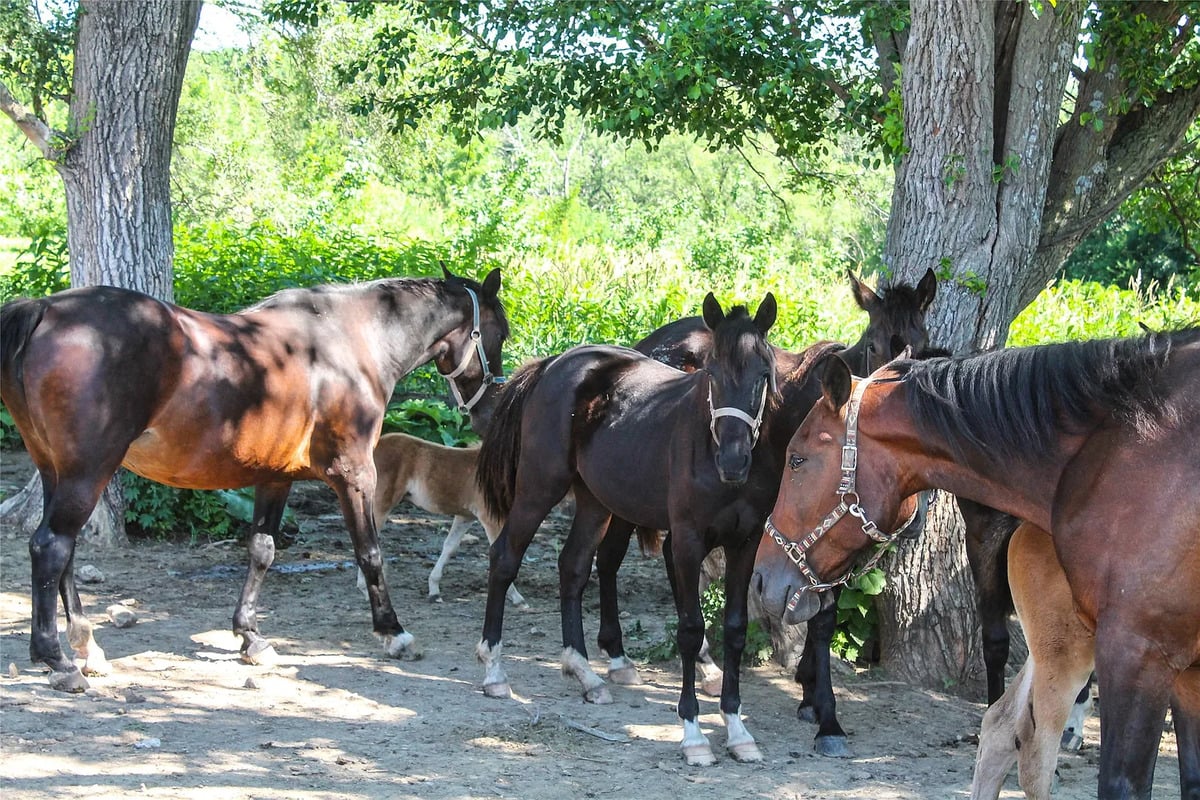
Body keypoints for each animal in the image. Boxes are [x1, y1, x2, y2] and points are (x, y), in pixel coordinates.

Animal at [0, 267, 508, 692]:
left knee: (62, 553)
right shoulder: (354, 473)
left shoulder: (275, 477)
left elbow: (262, 550)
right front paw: (393, 633)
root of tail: (46, 309)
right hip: (88, 472)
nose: (488, 412)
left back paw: (87, 648)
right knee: (51, 547)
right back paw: (58, 660)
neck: (349, 341)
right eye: (499, 332)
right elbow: (371, 552)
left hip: (56, 471)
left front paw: (250, 637)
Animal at [364, 431, 526, 607]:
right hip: (381, 504)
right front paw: (517, 597)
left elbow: (450, 546)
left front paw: (434, 590)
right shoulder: (489, 517)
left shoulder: (466, 516)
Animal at [475, 293, 788, 766]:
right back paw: (495, 671)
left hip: (593, 501)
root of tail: (553, 365)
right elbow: (690, 629)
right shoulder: (686, 541)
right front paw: (693, 735)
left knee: (573, 567)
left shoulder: (744, 542)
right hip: (539, 488)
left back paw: (586, 674)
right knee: (505, 558)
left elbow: (733, 629)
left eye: (763, 376)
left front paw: (737, 731)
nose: (733, 462)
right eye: (711, 374)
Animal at [596, 267, 937, 757]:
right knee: (610, 559)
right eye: (873, 344)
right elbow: (821, 615)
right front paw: (826, 713)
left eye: (924, 342)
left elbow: (820, 611)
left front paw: (812, 695)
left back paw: (704, 664)